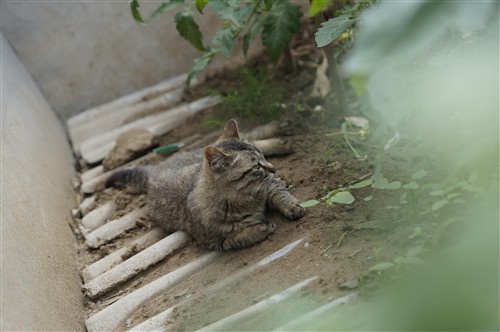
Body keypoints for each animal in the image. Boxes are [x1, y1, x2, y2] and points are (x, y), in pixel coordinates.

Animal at [105, 119, 304, 249]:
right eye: (256, 166)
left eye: (262, 157)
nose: (274, 168)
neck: (245, 199)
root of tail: (155, 169)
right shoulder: (216, 242)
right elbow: (239, 238)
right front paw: (260, 229)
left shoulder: (270, 185)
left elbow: (281, 194)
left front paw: (292, 207)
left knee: (252, 134)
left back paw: (278, 134)